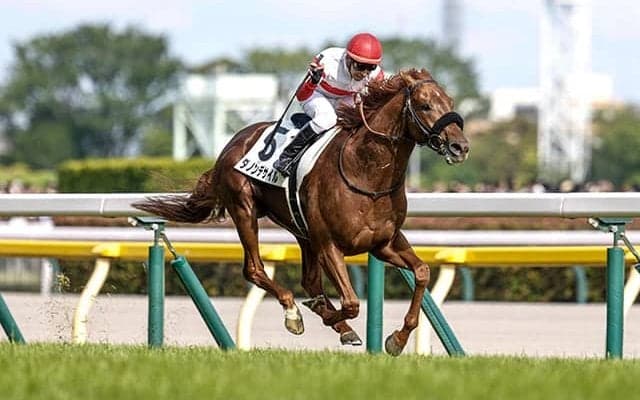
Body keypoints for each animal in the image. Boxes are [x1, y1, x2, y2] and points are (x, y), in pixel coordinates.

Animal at [134, 68, 469, 355]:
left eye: (450, 102)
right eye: (425, 105)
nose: (460, 146)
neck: (366, 173)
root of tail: (233, 143)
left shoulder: (383, 243)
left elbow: (422, 273)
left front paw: (396, 339)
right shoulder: (330, 244)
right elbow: (350, 302)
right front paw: (321, 315)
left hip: (301, 231)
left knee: (308, 280)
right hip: (245, 209)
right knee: (255, 268)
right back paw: (294, 310)